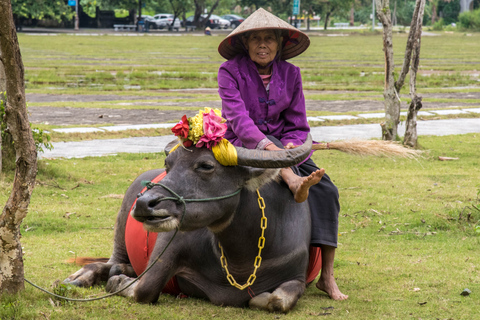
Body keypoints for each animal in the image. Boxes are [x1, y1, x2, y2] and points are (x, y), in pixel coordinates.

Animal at [64, 135, 318, 312]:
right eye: (168, 164)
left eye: (206, 166)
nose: (144, 203)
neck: (240, 259)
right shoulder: (170, 241)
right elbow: (144, 289)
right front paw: (119, 282)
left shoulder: (298, 276)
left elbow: (278, 300)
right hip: (120, 230)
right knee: (109, 262)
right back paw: (82, 277)